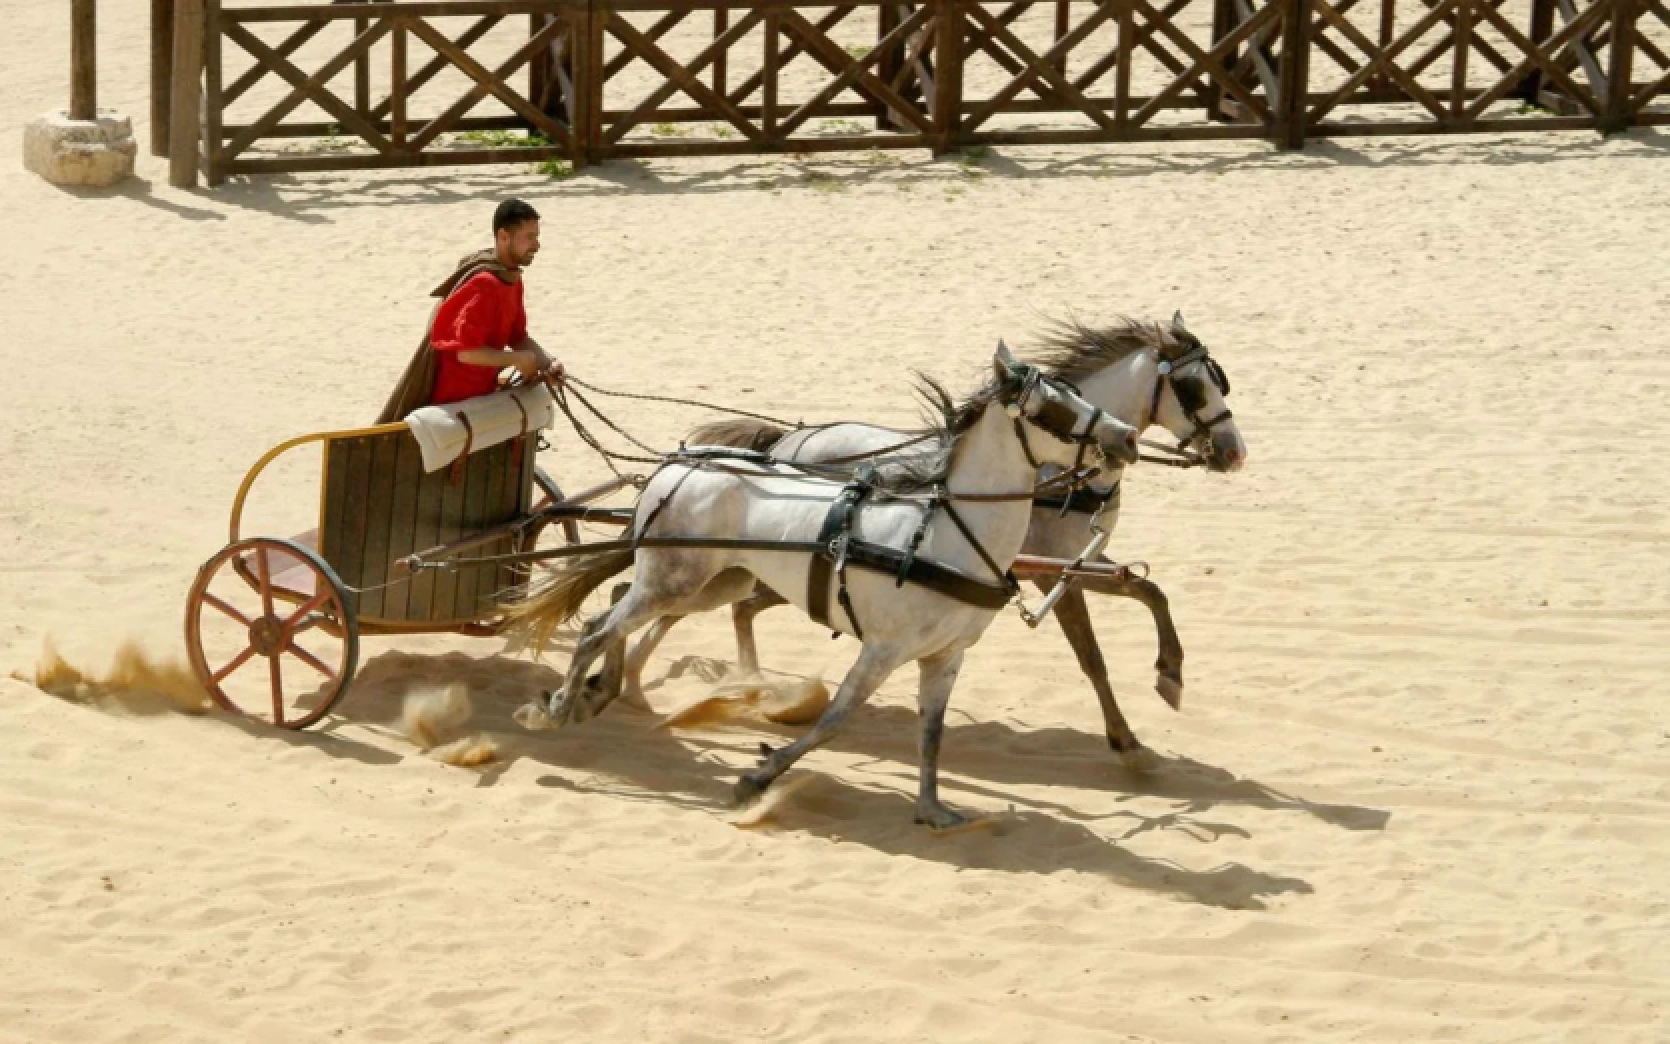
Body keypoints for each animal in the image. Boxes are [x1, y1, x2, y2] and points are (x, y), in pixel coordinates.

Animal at [507, 345, 1142, 825]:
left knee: (619, 607)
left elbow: (932, 733)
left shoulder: (946, 656)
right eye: (1052, 409)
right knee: (596, 626)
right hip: (676, 581)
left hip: (712, 581)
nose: (1128, 437)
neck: (947, 533)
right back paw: (558, 708)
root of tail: (678, 465)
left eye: (1079, 393)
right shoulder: (883, 650)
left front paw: (933, 809)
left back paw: (603, 690)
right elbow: (834, 720)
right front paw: (759, 775)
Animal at [631, 310, 1249, 765]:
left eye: (1219, 379)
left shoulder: (1069, 564)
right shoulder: (1050, 570)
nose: (1234, 452)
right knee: (692, 606)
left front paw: (1169, 676)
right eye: (1194, 387)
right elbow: (1092, 655)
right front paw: (1127, 734)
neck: (1055, 474)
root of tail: (790, 440)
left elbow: (1147, 590)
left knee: (719, 608)